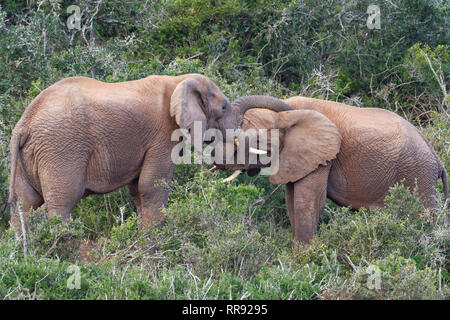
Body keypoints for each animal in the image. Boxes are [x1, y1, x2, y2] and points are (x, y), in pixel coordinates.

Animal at [8, 74, 290, 232]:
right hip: (61, 147)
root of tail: (23, 124)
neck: (178, 81)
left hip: (32, 154)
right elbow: (151, 186)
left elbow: (138, 190)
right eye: (223, 107)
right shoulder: (162, 135)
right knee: (62, 203)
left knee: (24, 204)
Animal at [214, 96, 446, 244]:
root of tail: (436, 157)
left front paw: (303, 259)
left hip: (419, 175)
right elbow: (292, 202)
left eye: (256, 141)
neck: (287, 113)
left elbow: (306, 202)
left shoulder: (324, 157)